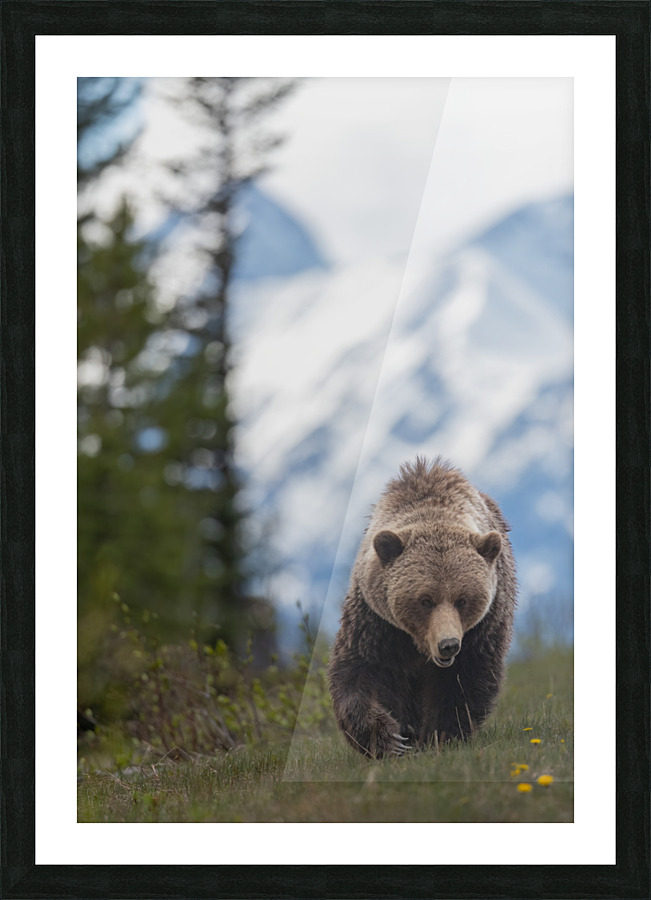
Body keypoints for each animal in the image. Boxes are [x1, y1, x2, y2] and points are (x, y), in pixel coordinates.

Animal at [328, 457, 517, 758]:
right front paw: (389, 740)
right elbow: (361, 670)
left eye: (462, 599)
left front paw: (441, 736)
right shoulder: (376, 621)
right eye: (425, 600)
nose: (448, 645)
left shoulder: (484, 625)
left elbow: (465, 679)